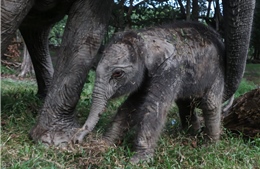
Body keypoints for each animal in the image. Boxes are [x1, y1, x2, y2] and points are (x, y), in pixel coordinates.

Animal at [72, 21, 225, 163]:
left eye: (117, 74)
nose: (76, 140)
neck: (146, 37)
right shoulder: (146, 75)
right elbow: (132, 106)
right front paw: (105, 145)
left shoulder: (171, 69)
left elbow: (154, 107)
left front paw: (137, 161)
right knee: (185, 104)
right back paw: (191, 136)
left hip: (218, 72)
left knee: (210, 104)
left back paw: (209, 147)